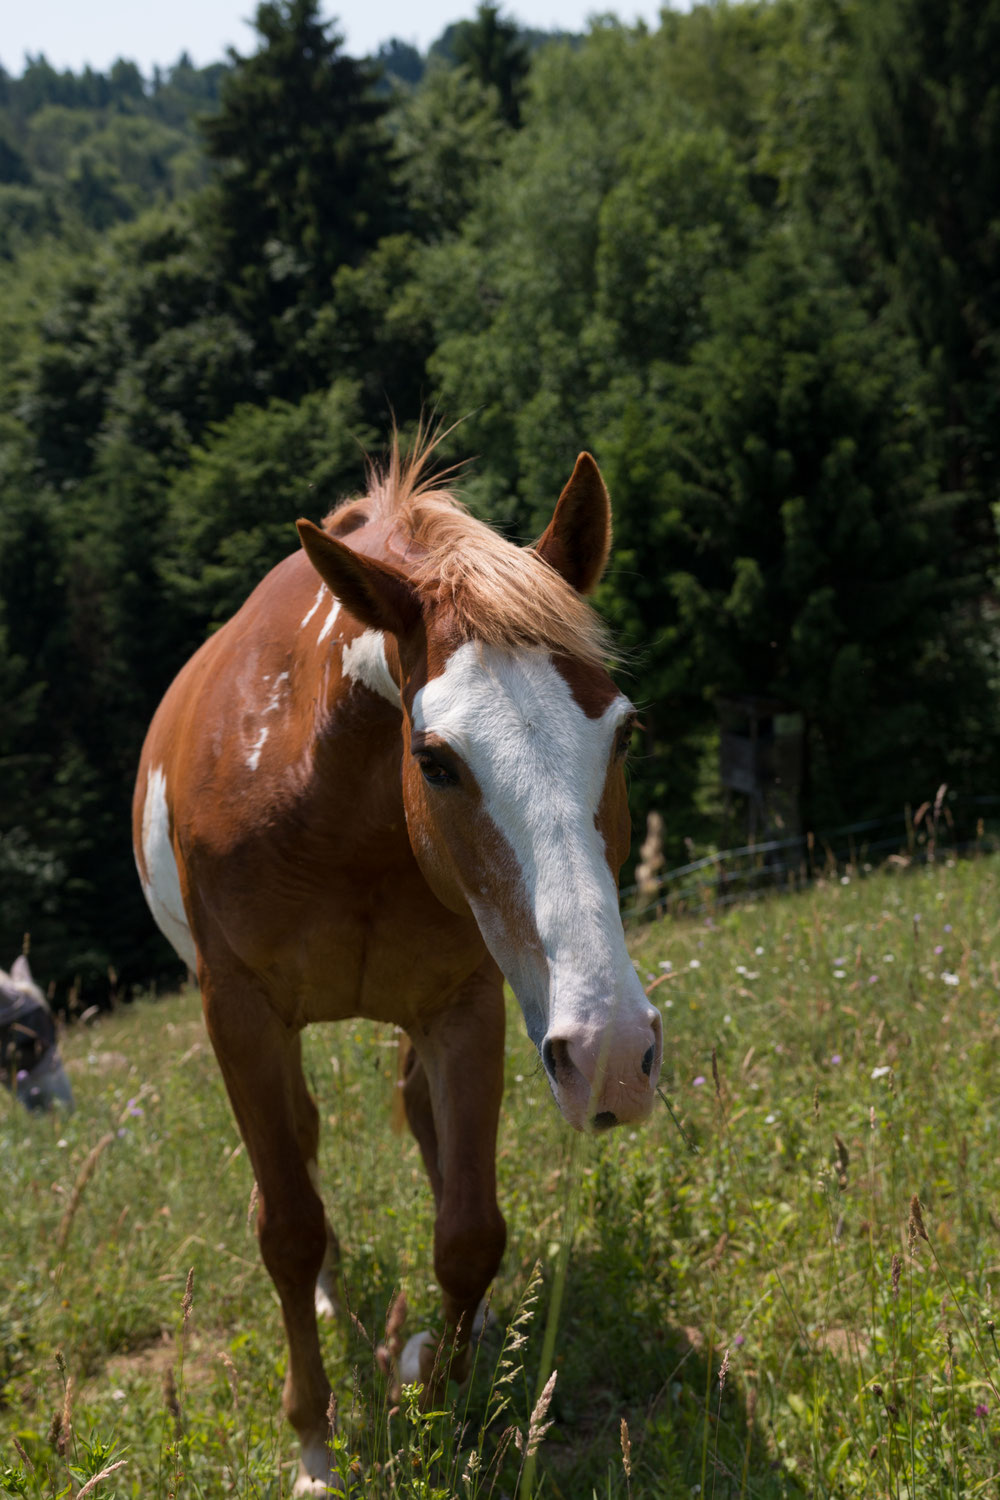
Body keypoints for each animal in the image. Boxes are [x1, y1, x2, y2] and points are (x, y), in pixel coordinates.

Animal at [132, 437, 662, 1494]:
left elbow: (469, 1232)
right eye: (436, 758)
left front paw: (434, 1394)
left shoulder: (466, 1005)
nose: (614, 1056)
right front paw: (315, 1445)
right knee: (301, 1150)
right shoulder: (240, 1015)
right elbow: (288, 1228)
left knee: (423, 1129)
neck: (327, 792)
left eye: (623, 731)